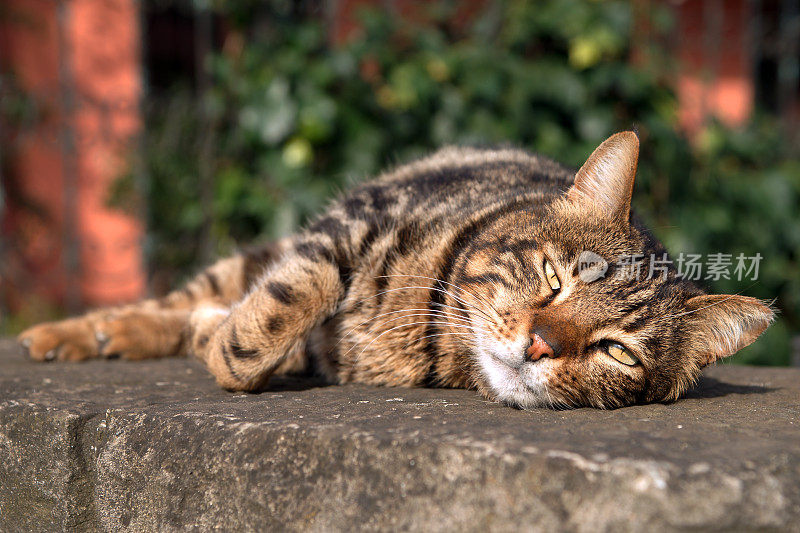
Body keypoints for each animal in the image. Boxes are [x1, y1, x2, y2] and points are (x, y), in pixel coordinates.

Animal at [18, 133, 772, 408]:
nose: (538, 345)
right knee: (186, 294)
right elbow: (287, 301)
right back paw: (76, 332)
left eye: (615, 350)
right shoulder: (351, 223)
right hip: (270, 247)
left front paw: (219, 338)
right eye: (555, 277)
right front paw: (234, 342)